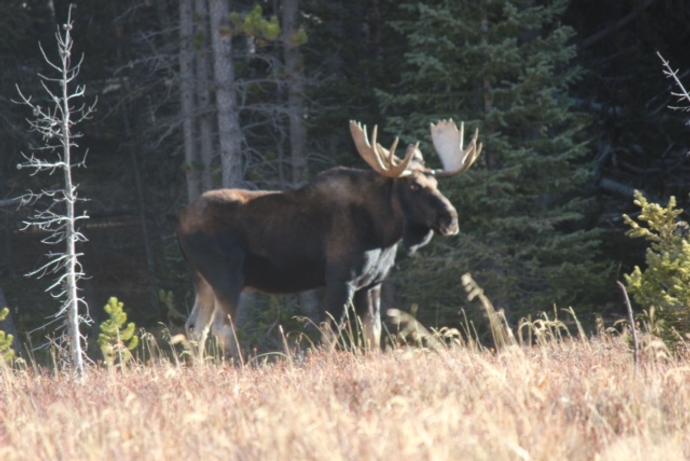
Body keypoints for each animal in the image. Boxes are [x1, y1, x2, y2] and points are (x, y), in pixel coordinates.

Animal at [175, 118, 482, 352]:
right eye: (414, 186)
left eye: (436, 183)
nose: (450, 219)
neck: (384, 233)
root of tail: (180, 224)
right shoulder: (340, 279)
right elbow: (330, 333)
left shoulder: (372, 284)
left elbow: (373, 333)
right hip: (226, 277)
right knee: (222, 328)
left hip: (203, 281)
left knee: (195, 328)